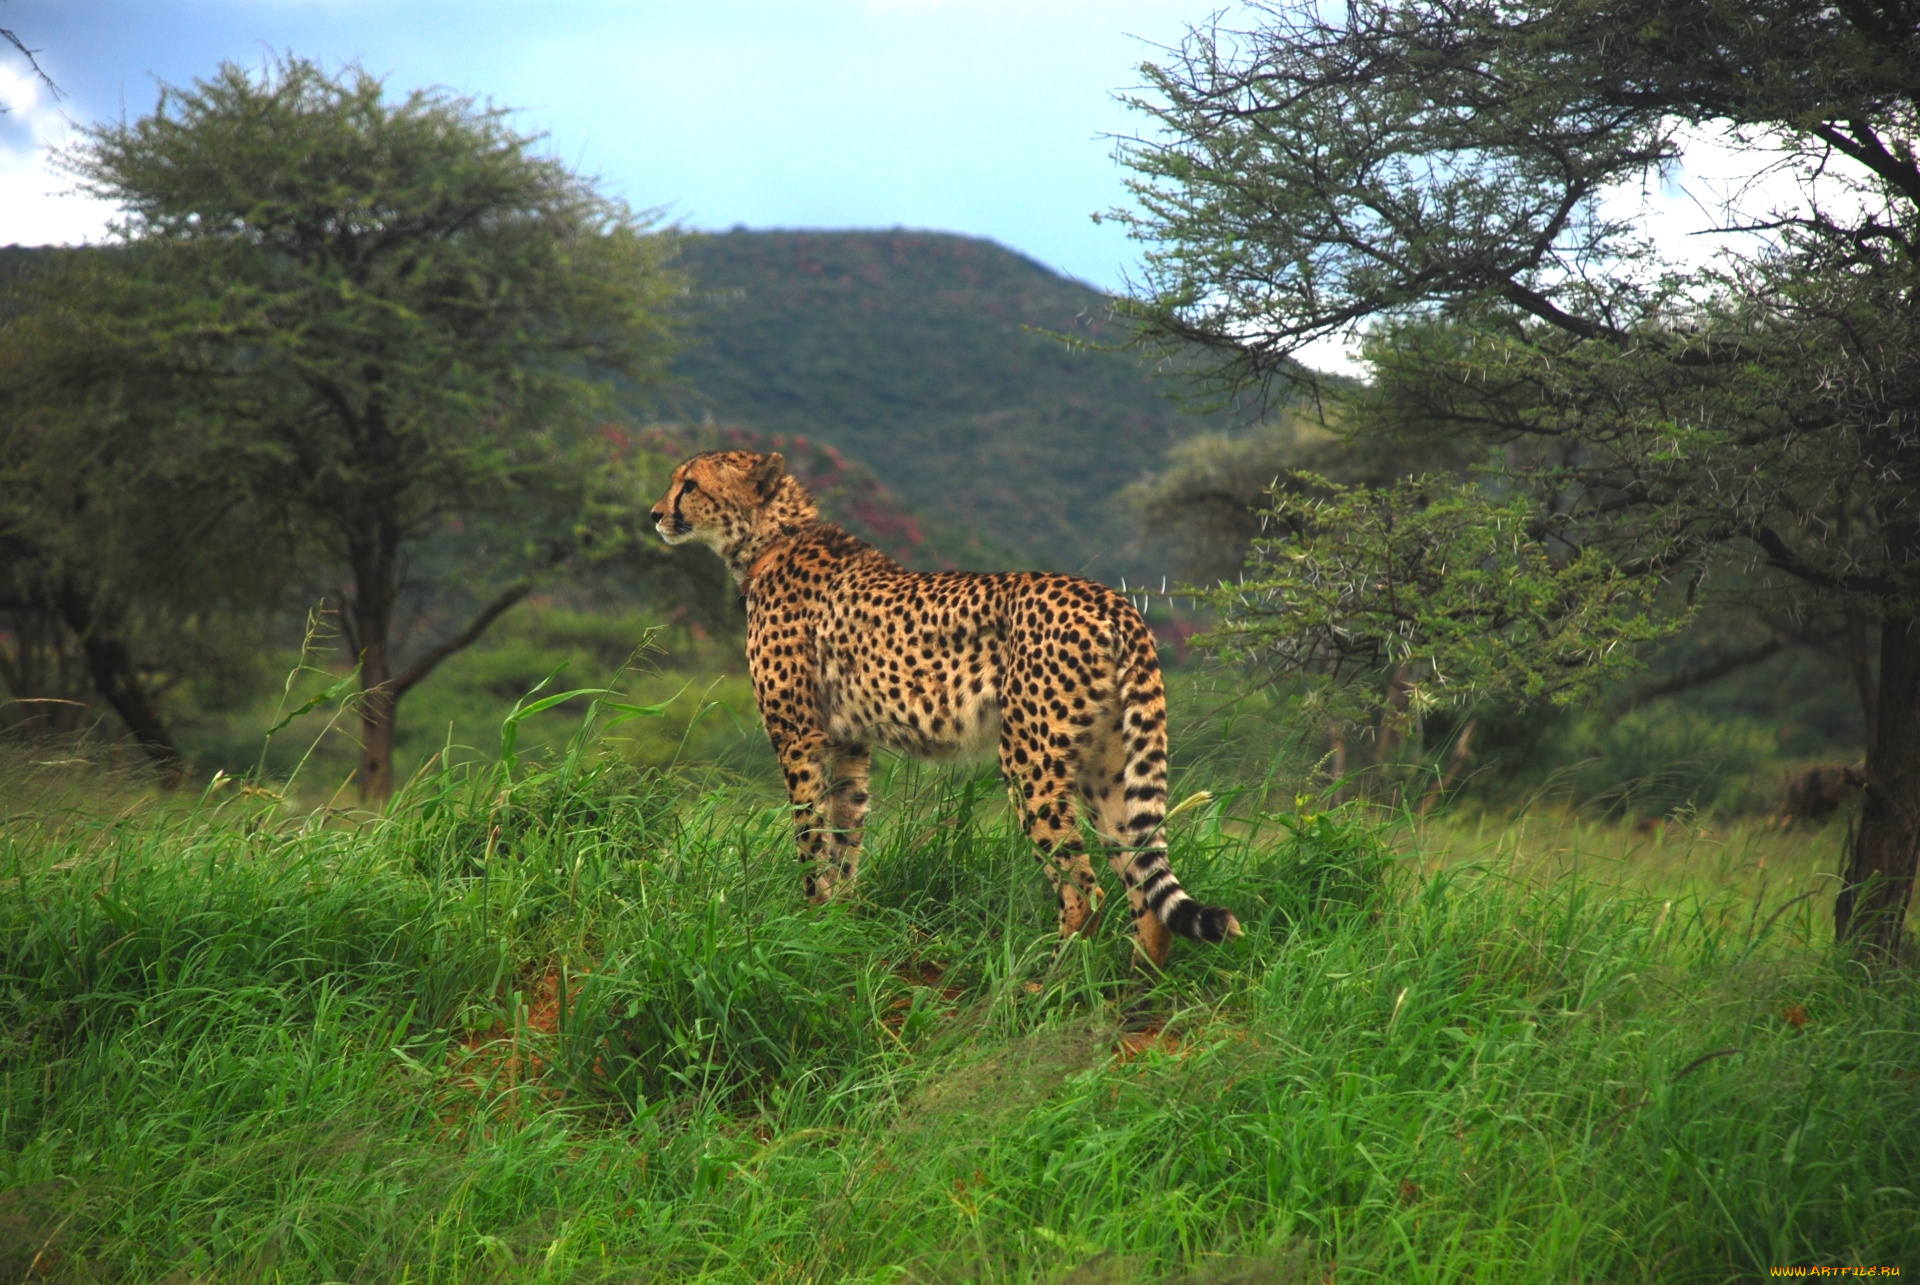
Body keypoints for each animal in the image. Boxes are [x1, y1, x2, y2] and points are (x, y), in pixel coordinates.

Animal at [648, 451, 1244, 960]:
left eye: (690, 484)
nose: (655, 514)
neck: (771, 539)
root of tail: (1112, 599)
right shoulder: (848, 743)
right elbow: (845, 835)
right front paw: (838, 922)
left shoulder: (798, 737)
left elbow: (810, 838)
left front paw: (807, 919)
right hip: (1109, 765)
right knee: (1143, 890)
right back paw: (1133, 993)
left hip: (1031, 761)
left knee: (1084, 891)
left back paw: (1045, 985)